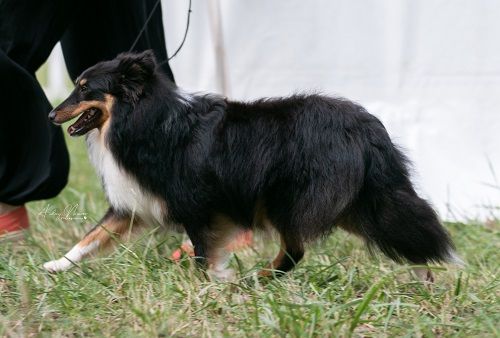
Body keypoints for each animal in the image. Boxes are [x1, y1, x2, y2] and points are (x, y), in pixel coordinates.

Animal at [45, 50, 458, 280]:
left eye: (85, 88)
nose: (50, 115)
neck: (145, 119)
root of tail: (369, 128)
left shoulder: (198, 207)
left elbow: (204, 254)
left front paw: (211, 284)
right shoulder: (134, 206)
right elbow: (91, 237)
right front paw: (56, 266)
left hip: (291, 199)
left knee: (296, 251)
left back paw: (257, 279)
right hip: (356, 203)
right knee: (405, 234)